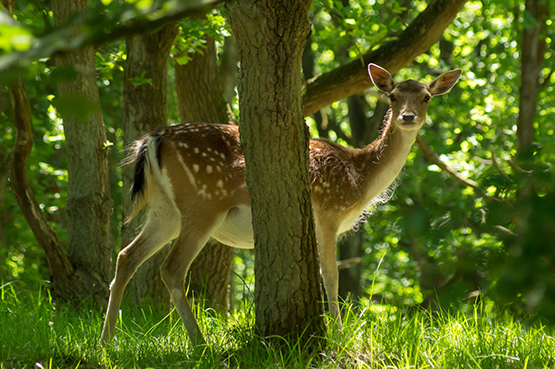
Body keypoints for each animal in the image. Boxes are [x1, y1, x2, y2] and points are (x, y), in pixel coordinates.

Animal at [101, 62, 464, 342]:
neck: (359, 178)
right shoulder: (328, 214)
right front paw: (338, 336)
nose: (408, 117)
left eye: (426, 97)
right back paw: (199, 342)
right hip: (202, 204)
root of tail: (152, 139)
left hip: (165, 211)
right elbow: (331, 277)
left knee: (126, 256)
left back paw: (107, 341)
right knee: (171, 269)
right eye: (392, 95)